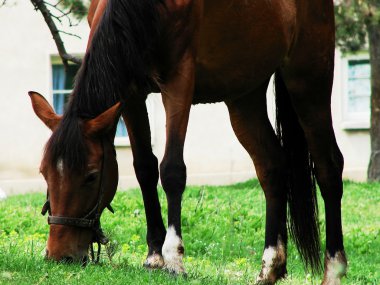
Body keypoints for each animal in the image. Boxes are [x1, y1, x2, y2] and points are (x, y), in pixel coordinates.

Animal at [29, 1, 348, 282]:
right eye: (44, 172)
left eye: (92, 176)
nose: (59, 255)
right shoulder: (131, 94)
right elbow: (144, 168)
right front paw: (154, 255)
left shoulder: (178, 82)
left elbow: (171, 170)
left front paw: (174, 258)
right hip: (245, 96)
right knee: (271, 167)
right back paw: (270, 267)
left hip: (308, 81)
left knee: (328, 166)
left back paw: (333, 270)